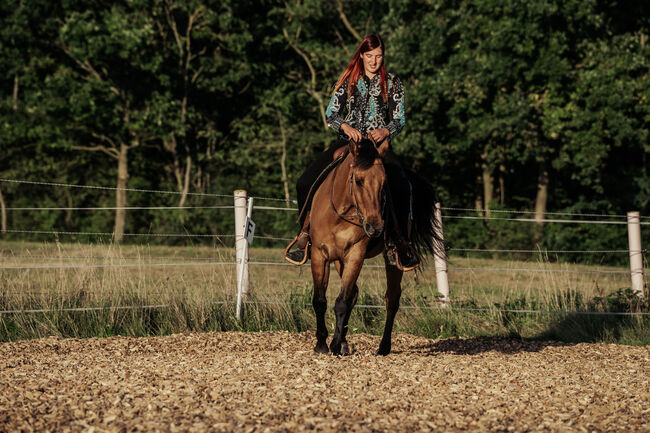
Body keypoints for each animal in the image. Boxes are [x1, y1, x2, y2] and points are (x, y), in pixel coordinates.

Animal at [306, 138, 440, 354]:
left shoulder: (355, 255)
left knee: (391, 298)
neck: (340, 215)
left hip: (393, 258)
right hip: (338, 261)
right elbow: (320, 300)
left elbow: (342, 301)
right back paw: (345, 343)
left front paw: (334, 344)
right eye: (358, 181)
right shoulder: (320, 255)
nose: (375, 227)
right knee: (355, 293)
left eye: (384, 183)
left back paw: (383, 347)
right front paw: (322, 344)